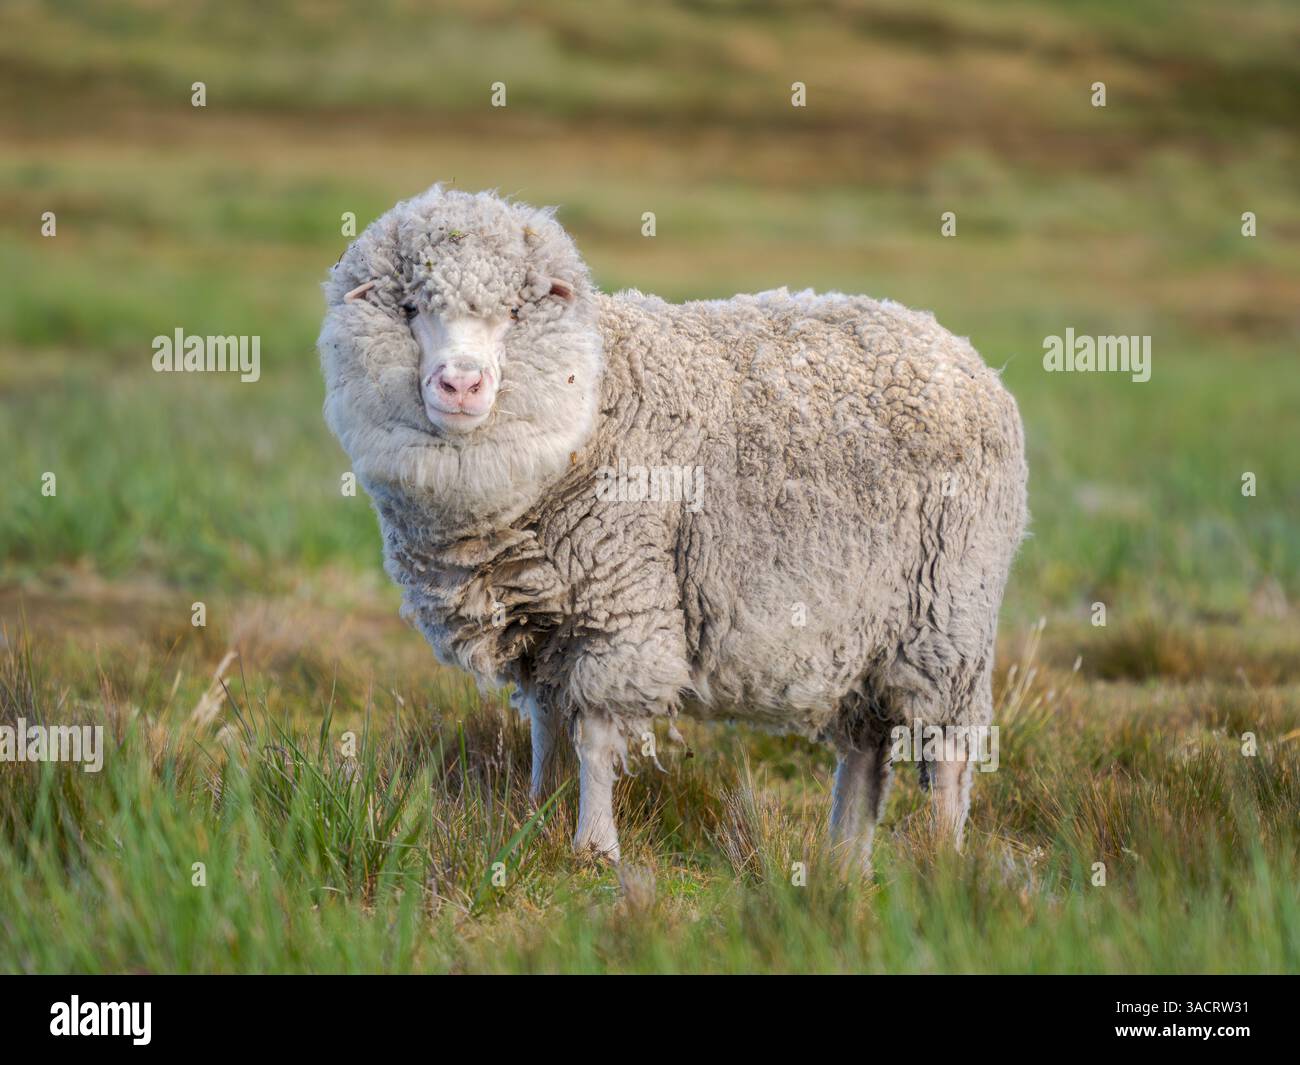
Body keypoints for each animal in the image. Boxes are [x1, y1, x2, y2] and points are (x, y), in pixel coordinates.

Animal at [319, 185, 1028, 869]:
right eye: (411, 308)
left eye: (515, 314)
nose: (460, 384)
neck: (596, 401)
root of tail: (963, 354)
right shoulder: (541, 628)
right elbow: (546, 733)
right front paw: (536, 821)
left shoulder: (620, 610)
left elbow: (595, 739)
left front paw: (594, 849)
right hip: (866, 634)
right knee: (867, 750)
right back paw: (843, 862)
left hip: (948, 617)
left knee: (948, 751)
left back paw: (941, 858)